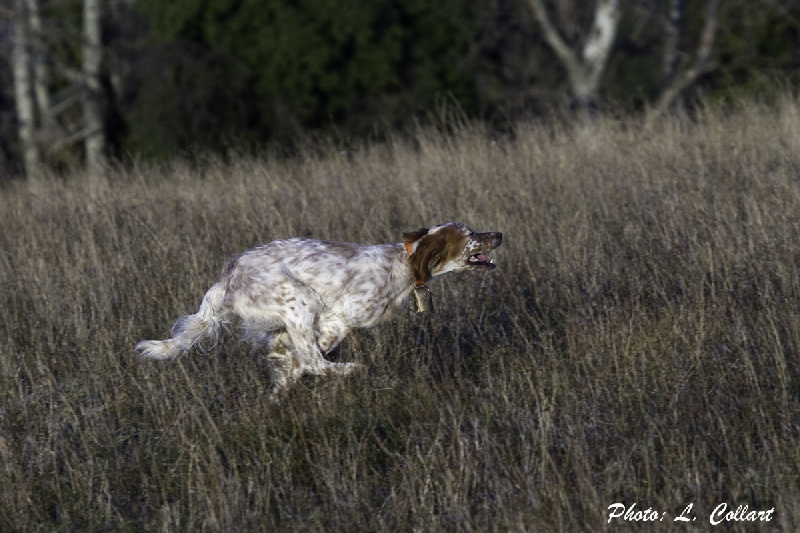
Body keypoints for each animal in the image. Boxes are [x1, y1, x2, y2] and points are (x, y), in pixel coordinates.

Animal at [135, 221, 504, 400]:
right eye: (471, 234)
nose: (499, 234)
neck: (403, 264)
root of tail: (230, 273)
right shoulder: (341, 316)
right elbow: (308, 354)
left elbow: (288, 356)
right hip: (299, 298)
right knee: (314, 360)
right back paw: (352, 369)